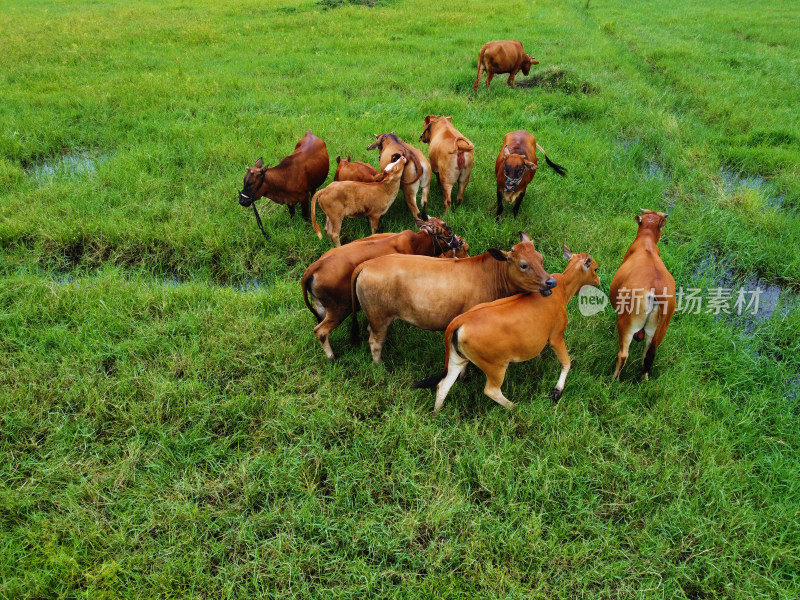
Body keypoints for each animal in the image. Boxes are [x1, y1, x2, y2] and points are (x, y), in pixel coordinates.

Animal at [304, 217, 468, 360]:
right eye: (448, 229)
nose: (459, 241)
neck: (418, 243)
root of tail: (313, 267)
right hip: (340, 309)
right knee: (321, 331)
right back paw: (331, 357)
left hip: (322, 308)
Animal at [350, 232, 556, 364]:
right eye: (523, 265)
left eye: (541, 258)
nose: (551, 281)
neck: (491, 276)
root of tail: (367, 264)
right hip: (379, 317)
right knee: (375, 342)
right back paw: (379, 368)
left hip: (377, 317)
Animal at [412, 247, 600, 412]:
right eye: (596, 268)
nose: (598, 280)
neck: (563, 287)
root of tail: (460, 320)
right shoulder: (556, 336)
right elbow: (566, 362)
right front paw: (557, 391)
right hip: (496, 366)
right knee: (491, 390)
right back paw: (515, 407)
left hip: (457, 359)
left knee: (443, 385)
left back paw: (437, 413)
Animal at [612, 210, 676, 380]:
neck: (646, 240)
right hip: (659, 331)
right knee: (648, 357)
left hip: (627, 322)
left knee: (623, 355)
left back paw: (613, 380)